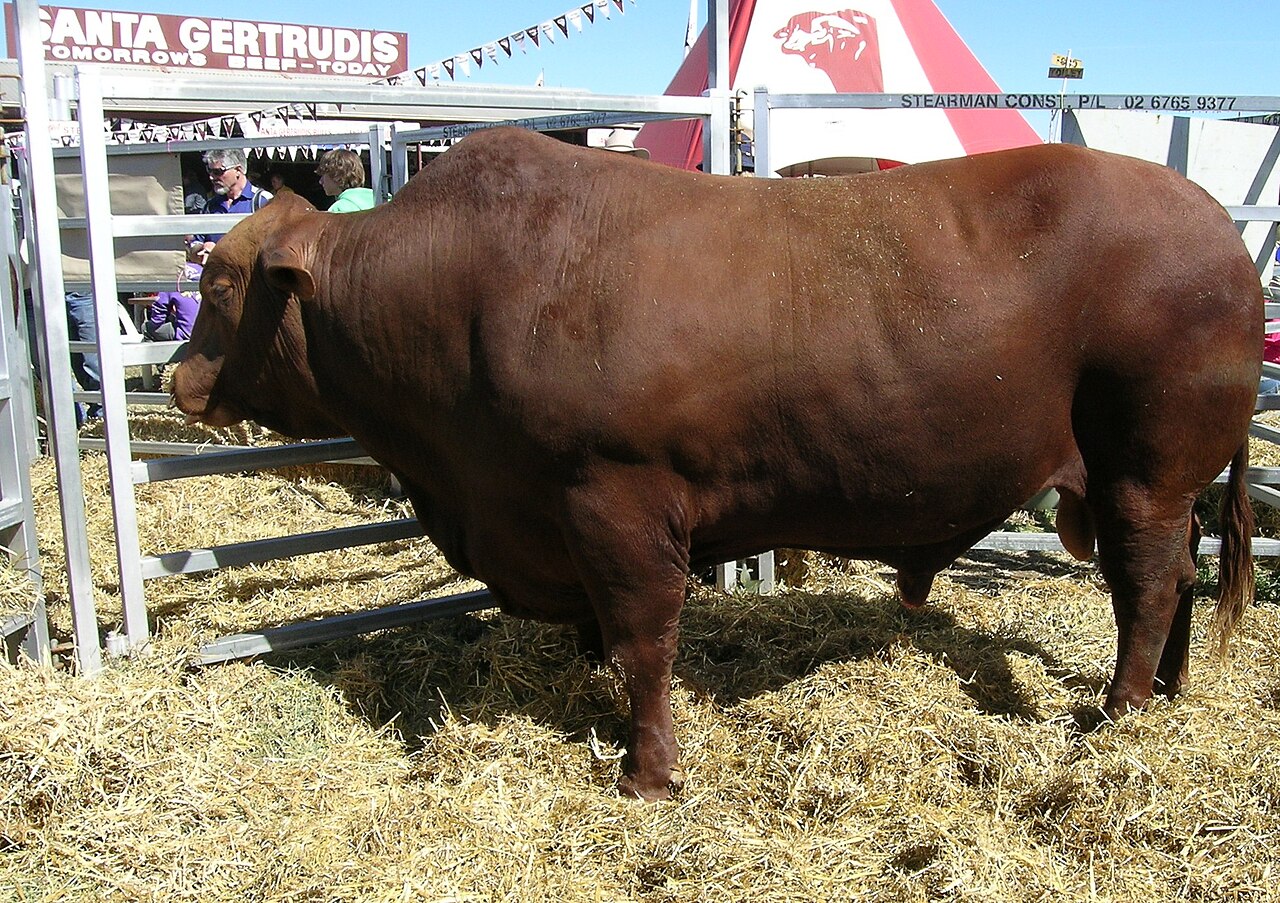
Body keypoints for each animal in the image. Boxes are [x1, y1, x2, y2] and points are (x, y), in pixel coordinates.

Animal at [173, 127, 1261, 801]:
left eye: (222, 284)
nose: (182, 381)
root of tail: (1211, 220)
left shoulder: (616, 500)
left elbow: (644, 643)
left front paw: (646, 773)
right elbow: (605, 642)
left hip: (1145, 467)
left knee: (1147, 581)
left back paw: (1118, 711)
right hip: (1159, 481)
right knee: (1177, 578)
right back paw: (1165, 695)